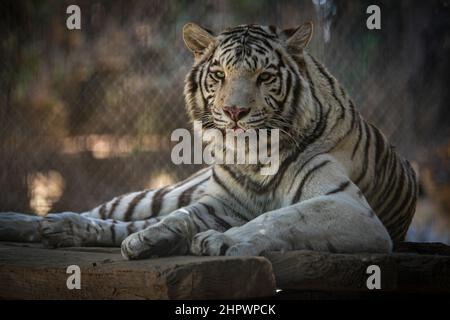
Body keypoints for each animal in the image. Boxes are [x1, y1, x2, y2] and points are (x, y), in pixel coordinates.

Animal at [0, 22, 418, 260]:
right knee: (109, 213)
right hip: (161, 193)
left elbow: (279, 217)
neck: (255, 156)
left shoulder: (350, 208)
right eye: (219, 74)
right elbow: (181, 217)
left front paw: (222, 241)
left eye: (265, 76)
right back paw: (44, 224)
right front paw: (158, 238)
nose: (234, 111)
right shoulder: (220, 203)